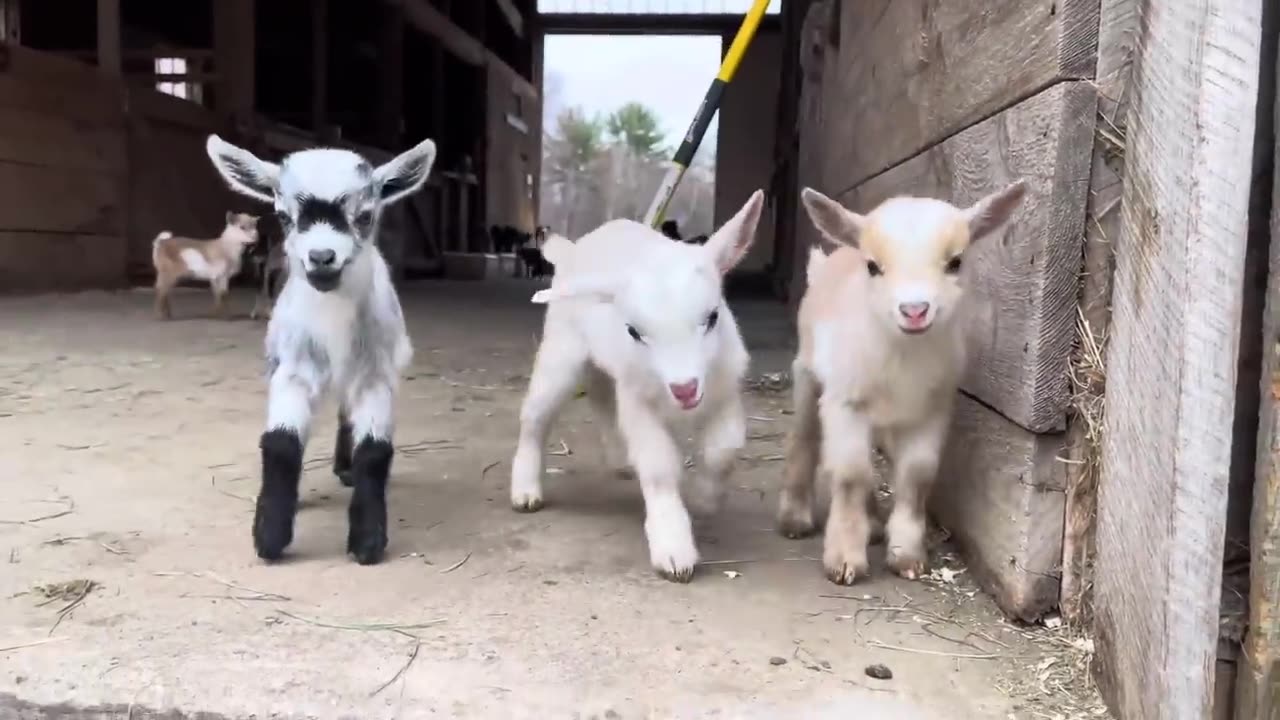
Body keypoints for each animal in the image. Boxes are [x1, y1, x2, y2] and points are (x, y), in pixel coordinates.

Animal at [203, 133, 435, 561]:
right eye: (283, 216)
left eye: (365, 216)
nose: (322, 257)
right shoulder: (292, 368)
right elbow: (281, 442)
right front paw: (270, 534)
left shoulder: (375, 373)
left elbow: (374, 450)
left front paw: (367, 540)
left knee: (346, 414)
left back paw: (345, 467)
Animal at [509, 189, 762, 576]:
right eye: (634, 331)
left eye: (712, 317)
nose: (685, 388)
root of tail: (573, 250)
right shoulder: (640, 404)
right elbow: (659, 467)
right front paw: (673, 550)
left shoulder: (725, 391)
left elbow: (724, 450)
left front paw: (704, 500)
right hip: (561, 352)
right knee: (536, 415)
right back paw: (525, 491)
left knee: (600, 396)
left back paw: (619, 459)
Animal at [778, 179, 1029, 584]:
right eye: (873, 266)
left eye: (956, 262)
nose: (914, 311)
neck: (903, 356)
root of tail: (828, 261)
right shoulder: (845, 402)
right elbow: (850, 473)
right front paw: (844, 559)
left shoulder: (932, 409)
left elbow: (917, 474)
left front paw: (907, 555)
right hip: (808, 374)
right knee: (804, 440)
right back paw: (795, 517)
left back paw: (873, 524)